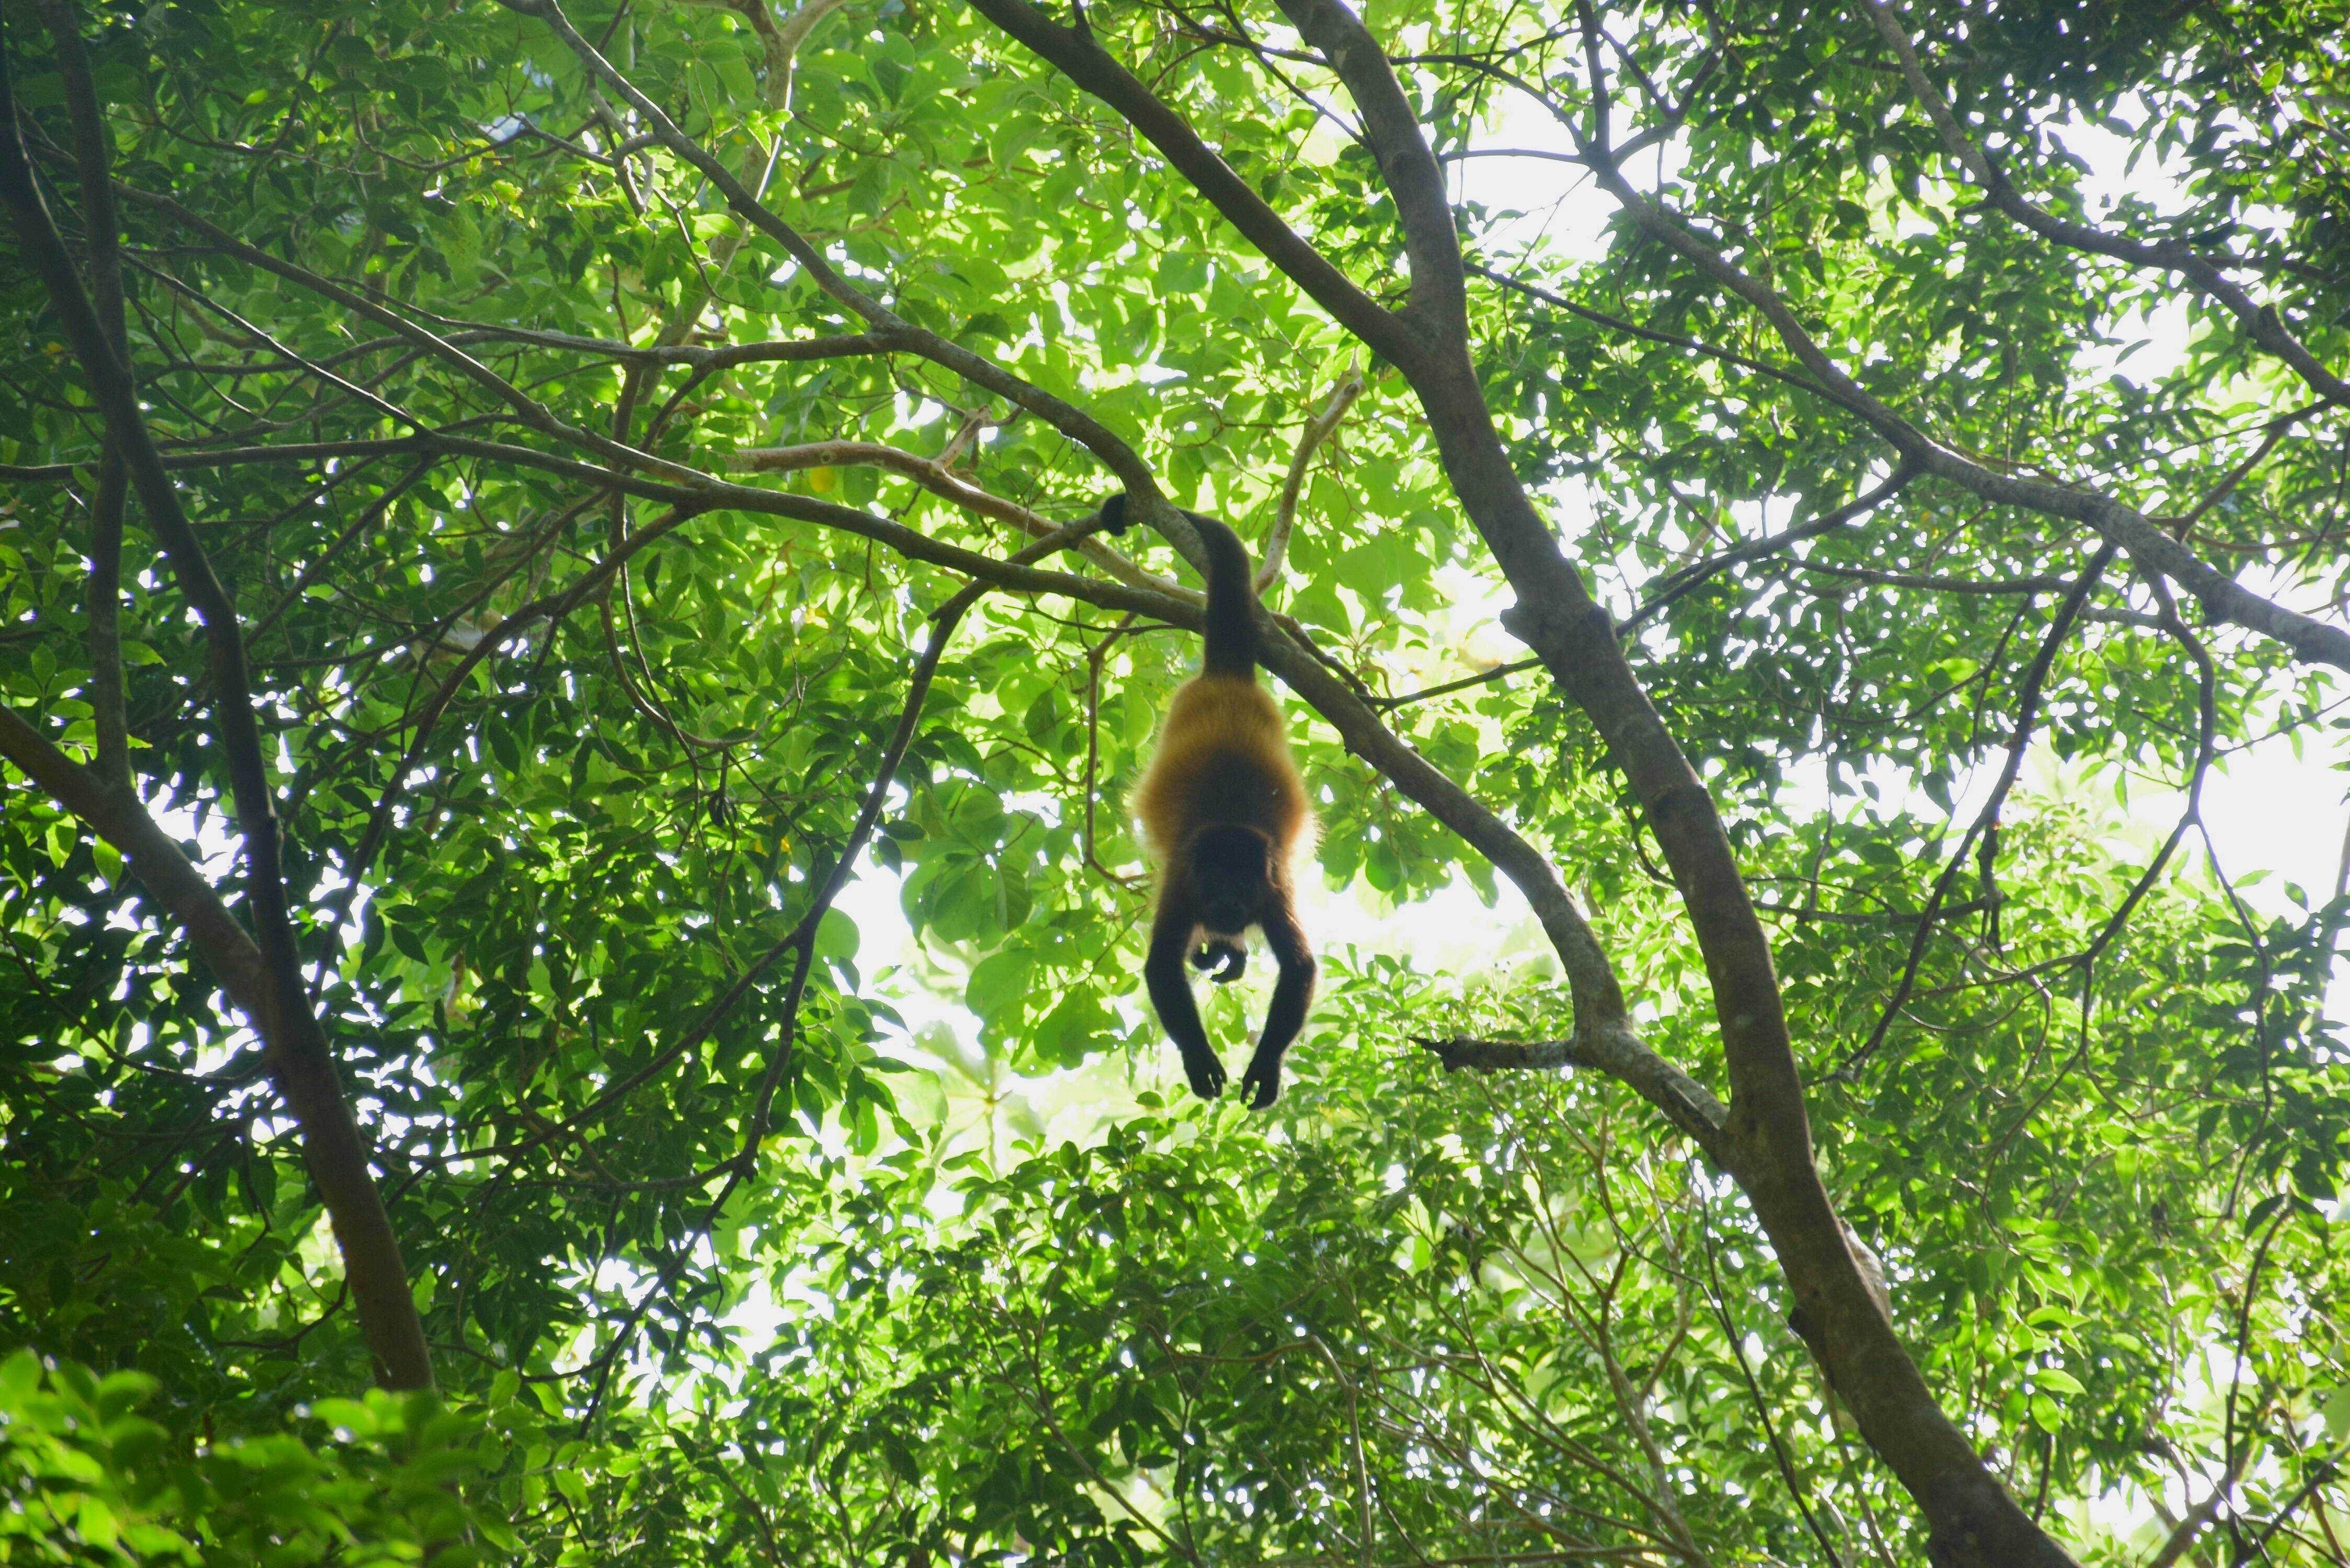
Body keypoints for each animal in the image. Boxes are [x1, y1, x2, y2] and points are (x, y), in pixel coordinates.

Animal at [1100, 490, 1316, 1110]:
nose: (1223, 905)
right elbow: (1160, 968)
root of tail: (1226, 678)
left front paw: (1265, 1068)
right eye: (1214, 881)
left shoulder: (1273, 884)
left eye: (1239, 884)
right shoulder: (1183, 876)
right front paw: (1199, 1060)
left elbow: (1299, 967)